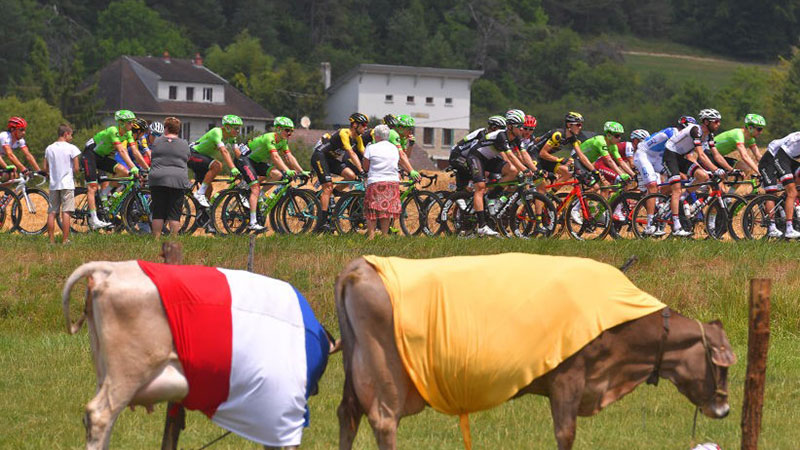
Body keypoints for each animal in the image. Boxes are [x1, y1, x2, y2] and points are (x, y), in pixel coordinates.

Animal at [332, 256, 736, 450]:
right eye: (723, 366)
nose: (725, 410)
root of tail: (359, 267)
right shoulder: (568, 378)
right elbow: (565, 434)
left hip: (355, 366)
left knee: (347, 416)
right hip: (384, 370)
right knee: (384, 421)